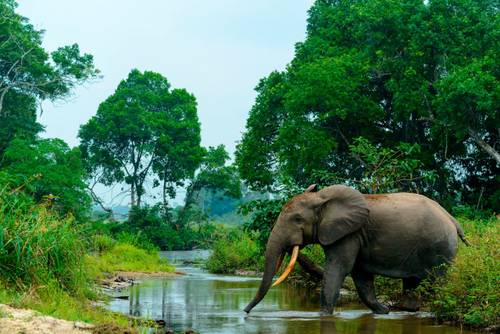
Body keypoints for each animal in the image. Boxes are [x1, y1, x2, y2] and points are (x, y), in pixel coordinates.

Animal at [244, 184, 470, 314]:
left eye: (298, 219)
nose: (245, 313)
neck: (322, 198)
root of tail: (452, 219)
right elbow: (361, 276)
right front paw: (383, 312)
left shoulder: (348, 233)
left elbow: (339, 268)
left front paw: (323, 316)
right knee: (413, 281)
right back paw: (407, 310)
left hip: (440, 246)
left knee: (438, 280)